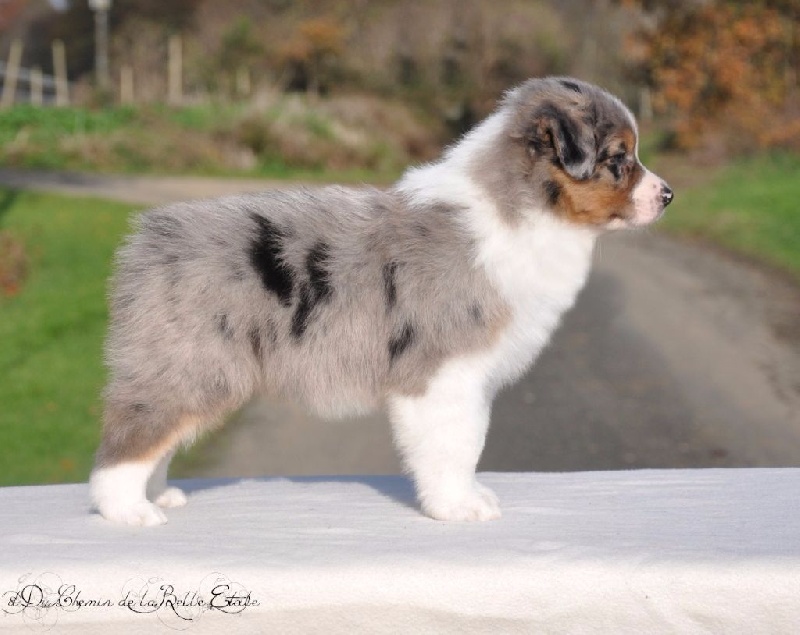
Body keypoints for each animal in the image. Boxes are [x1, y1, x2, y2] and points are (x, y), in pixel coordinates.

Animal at [90, 77, 673, 526]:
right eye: (618, 159)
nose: (668, 196)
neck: (520, 210)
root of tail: (150, 237)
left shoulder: (469, 377)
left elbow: (470, 443)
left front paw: (469, 495)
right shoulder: (443, 372)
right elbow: (456, 444)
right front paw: (456, 507)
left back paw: (156, 494)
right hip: (193, 364)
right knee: (129, 439)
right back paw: (128, 509)